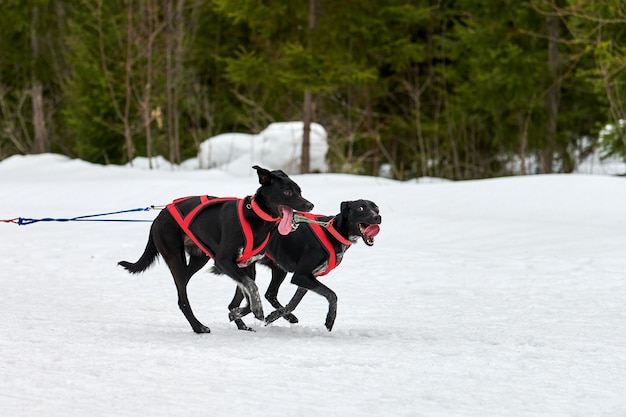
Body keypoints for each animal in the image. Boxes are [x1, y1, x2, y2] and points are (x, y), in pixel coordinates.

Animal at [117, 165, 312, 332]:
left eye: (300, 191)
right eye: (287, 192)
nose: (310, 205)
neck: (255, 218)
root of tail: (159, 217)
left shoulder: (247, 265)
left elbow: (248, 294)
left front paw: (240, 313)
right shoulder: (223, 262)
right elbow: (252, 287)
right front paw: (255, 310)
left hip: (198, 259)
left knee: (183, 290)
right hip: (176, 259)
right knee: (183, 299)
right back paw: (198, 327)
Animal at [224, 199, 380, 332]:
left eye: (376, 209)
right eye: (360, 208)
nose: (378, 217)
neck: (332, 232)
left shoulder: (307, 279)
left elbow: (293, 304)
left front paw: (275, 316)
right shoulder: (301, 276)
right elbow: (332, 295)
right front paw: (330, 320)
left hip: (277, 270)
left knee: (265, 295)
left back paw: (244, 324)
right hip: (251, 271)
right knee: (243, 301)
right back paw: (240, 320)